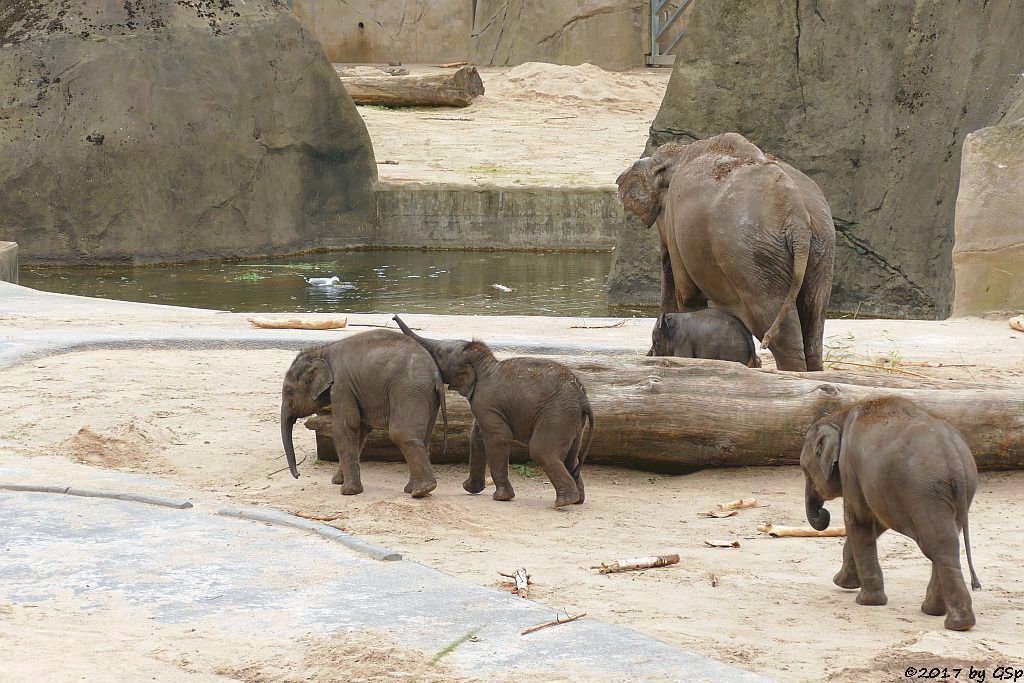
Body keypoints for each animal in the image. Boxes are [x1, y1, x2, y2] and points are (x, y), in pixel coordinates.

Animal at [278, 331, 446, 497]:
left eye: (289, 391)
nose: (298, 475)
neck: (322, 351)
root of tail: (436, 374)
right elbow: (360, 430)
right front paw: (337, 481)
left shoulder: (341, 384)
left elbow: (344, 427)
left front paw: (347, 491)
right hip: (427, 398)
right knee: (423, 437)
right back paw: (414, 489)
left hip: (410, 390)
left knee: (400, 432)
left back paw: (422, 490)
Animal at [395, 315, 598, 507]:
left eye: (439, 353)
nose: (393, 317)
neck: (485, 365)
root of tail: (583, 398)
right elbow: (477, 437)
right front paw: (470, 489)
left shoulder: (485, 402)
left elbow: (498, 437)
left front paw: (501, 497)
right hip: (573, 421)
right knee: (571, 458)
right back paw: (578, 500)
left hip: (557, 415)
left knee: (541, 451)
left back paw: (565, 501)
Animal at [610, 131, 835, 370]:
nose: (651, 353)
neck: (679, 153)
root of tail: (797, 215)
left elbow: (687, 294)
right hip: (822, 248)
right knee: (814, 319)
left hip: (756, 260)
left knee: (776, 324)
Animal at [802, 397, 978, 634]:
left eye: (804, 470)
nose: (823, 513)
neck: (841, 415)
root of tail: (954, 458)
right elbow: (877, 520)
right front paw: (844, 583)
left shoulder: (850, 467)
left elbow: (859, 518)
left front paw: (866, 601)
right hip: (955, 492)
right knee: (947, 540)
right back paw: (937, 613)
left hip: (923, 492)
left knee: (938, 545)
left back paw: (955, 623)